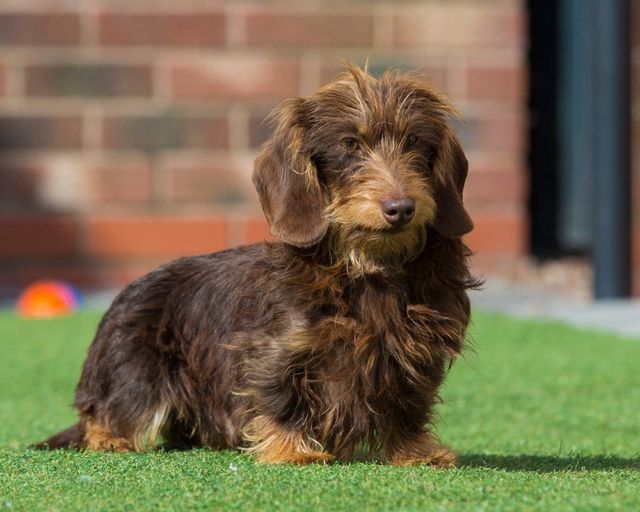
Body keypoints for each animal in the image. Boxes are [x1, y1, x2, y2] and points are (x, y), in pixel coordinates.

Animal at [36, 63, 476, 464]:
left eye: (415, 140)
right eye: (350, 144)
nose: (400, 207)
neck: (368, 267)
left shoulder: (415, 351)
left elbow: (409, 406)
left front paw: (416, 453)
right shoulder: (274, 350)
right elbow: (281, 397)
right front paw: (293, 450)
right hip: (134, 369)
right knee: (111, 412)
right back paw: (110, 438)